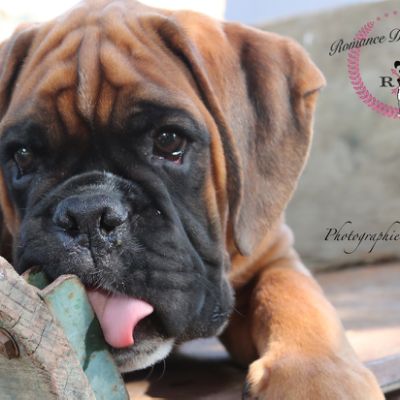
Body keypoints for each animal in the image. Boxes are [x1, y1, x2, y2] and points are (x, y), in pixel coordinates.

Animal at [0, 0, 384, 398]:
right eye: (24, 155)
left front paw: (316, 378)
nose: (88, 214)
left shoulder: (274, 255)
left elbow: (294, 295)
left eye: (169, 140)